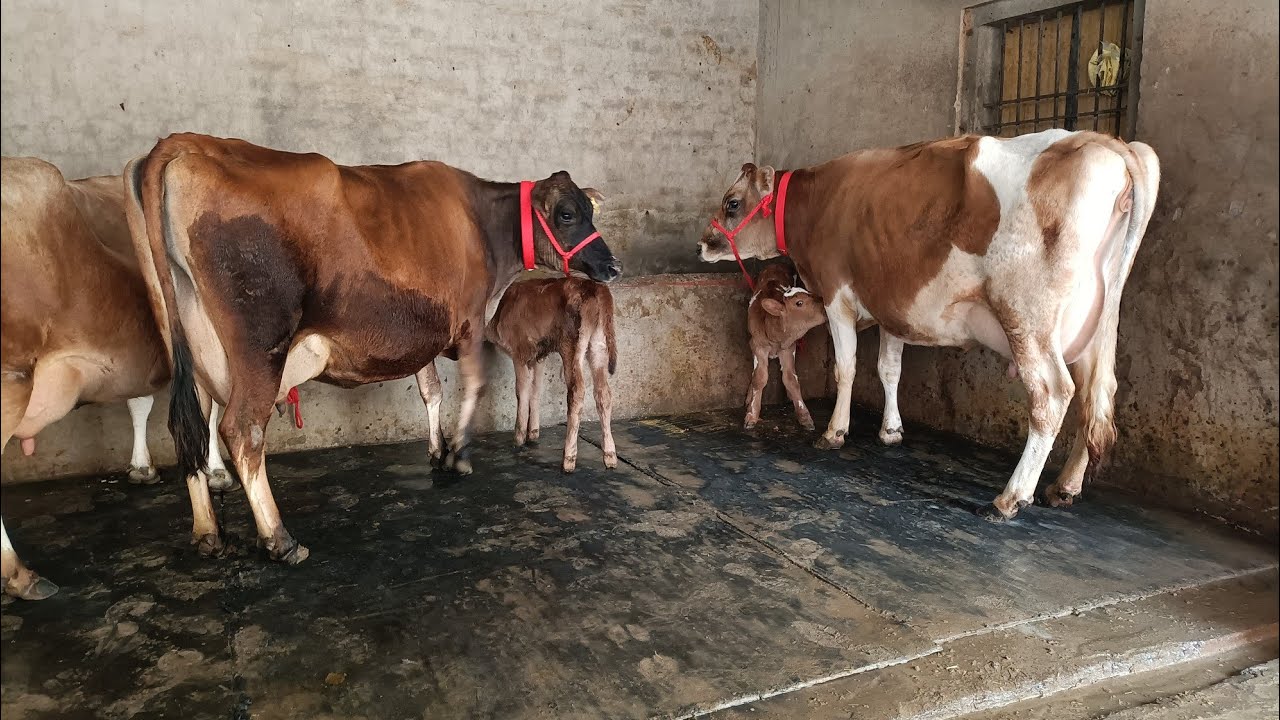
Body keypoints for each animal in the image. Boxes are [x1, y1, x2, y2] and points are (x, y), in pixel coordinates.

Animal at [1, 157, 230, 600]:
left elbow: (140, 403)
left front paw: (142, 466)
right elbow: (208, 414)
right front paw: (216, 471)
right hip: (11, 378)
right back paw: (20, 575)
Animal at [125, 133, 620, 564]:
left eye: (589, 210)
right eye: (567, 214)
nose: (612, 264)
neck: (481, 222)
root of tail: (187, 143)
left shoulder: (426, 330)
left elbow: (431, 390)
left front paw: (438, 450)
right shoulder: (469, 320)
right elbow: (475, 383)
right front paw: (459, 455)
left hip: (188, 339)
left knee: (188, 423)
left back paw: (208, 533)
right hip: (259, 343)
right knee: (242, 429)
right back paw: (280, 539)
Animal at [744, 263, 827, 431]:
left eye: (809, 292)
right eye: (799, 303)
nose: (824, 303)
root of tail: (775, 264)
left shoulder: (789, 348)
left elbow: (791, 379)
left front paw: (804, 416)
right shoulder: (757, 345)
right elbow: (759, 378)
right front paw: (752, 415)